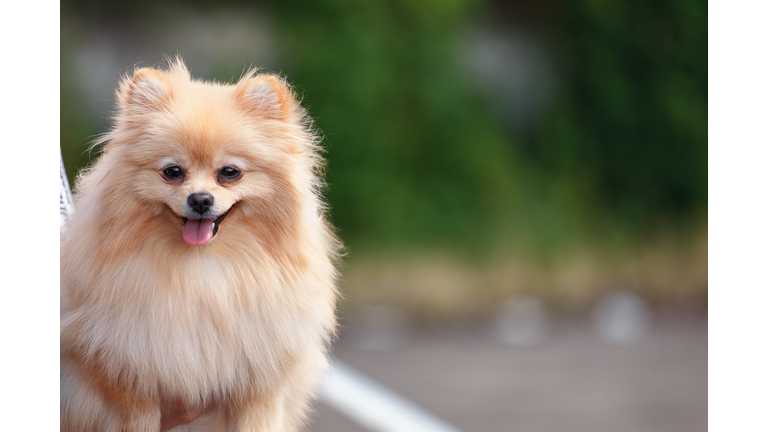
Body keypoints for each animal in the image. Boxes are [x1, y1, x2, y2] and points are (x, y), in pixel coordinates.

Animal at [57, 58, 340, 432]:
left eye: (230, 172)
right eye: (173, 171)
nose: (201, 199)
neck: (202, 267)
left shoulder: (257, 388)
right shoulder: (126, 381)